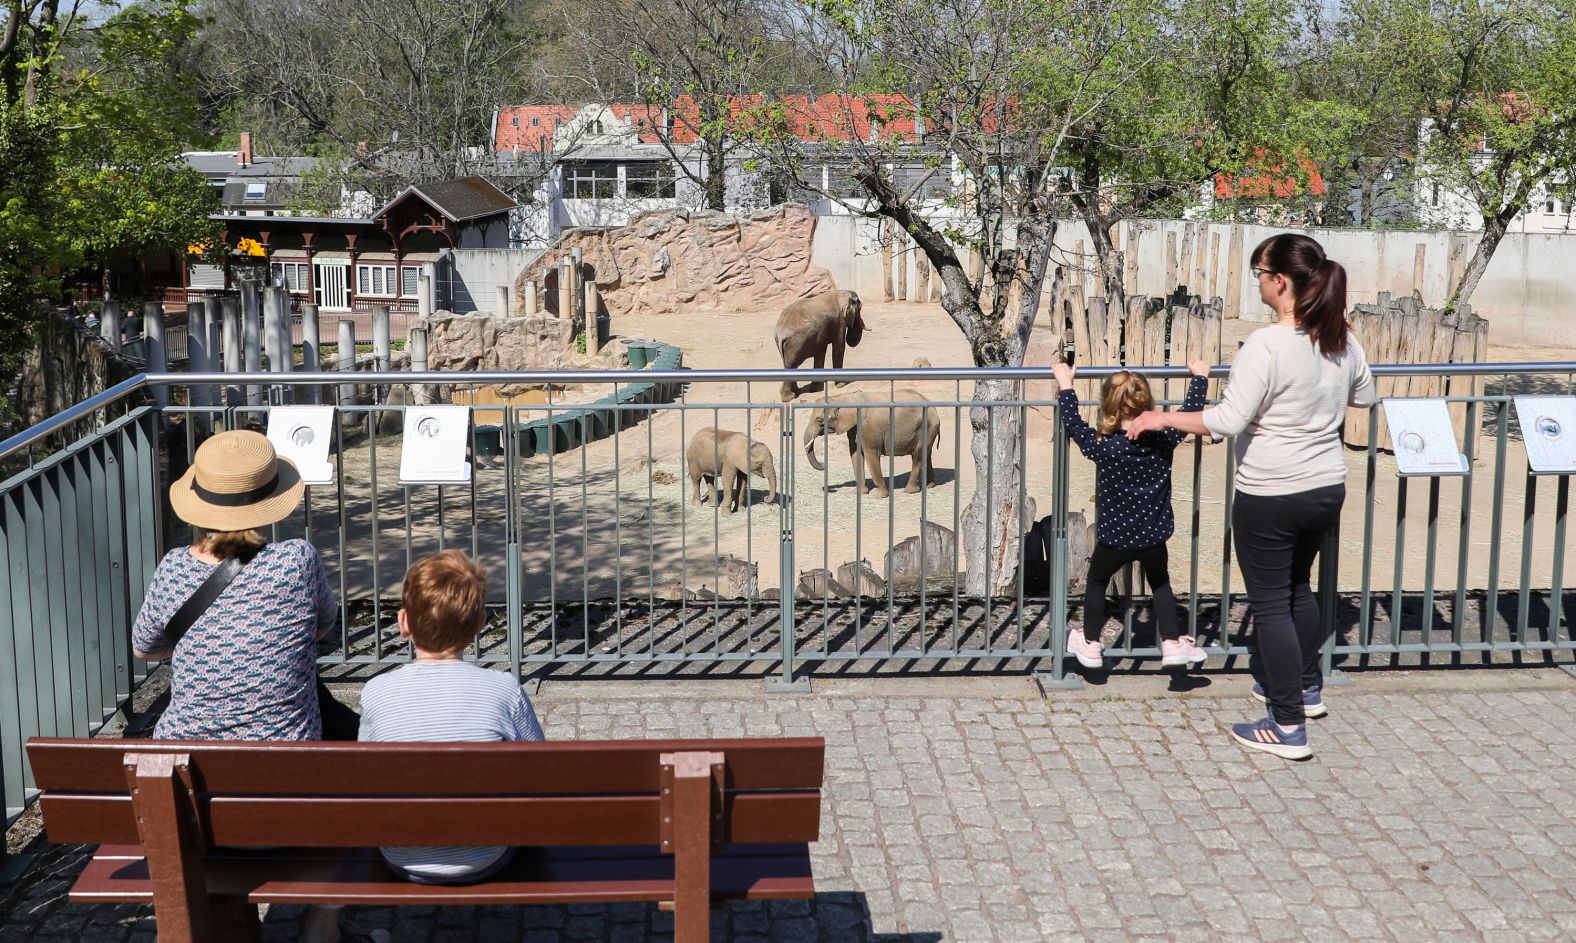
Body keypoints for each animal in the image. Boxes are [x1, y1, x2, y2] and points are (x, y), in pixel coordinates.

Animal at [806, 389, 939, 498]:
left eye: (819, 421)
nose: (824, 463)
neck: (845, 397)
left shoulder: (868, 427)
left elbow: (871, 454)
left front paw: (879, 496)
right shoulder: (854, 427)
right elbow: (856, 454)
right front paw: (860, 493)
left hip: (926, 427)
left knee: (917, 455)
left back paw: (909, 491)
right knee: (927, 454)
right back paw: (930, 485)